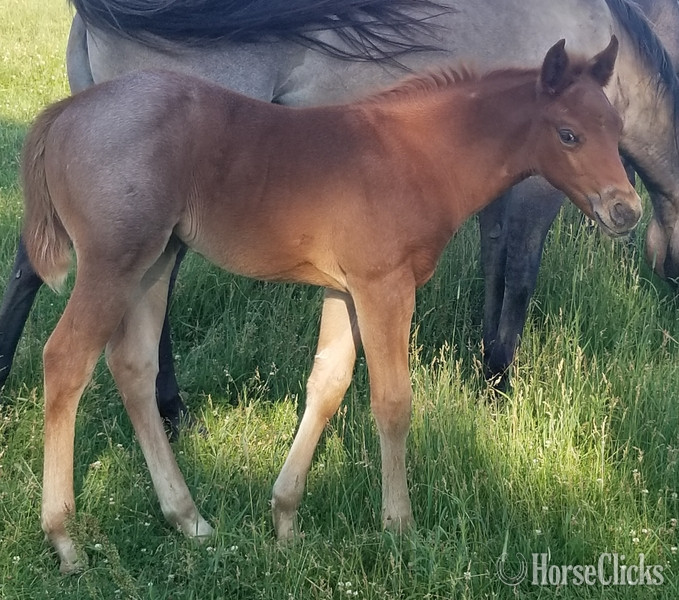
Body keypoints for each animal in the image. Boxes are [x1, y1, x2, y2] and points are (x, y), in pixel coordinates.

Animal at [1, 0, 678, 425]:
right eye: (572, 135)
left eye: (611, 126)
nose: (624, 213)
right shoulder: (537, 193)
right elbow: (517, 279)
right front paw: (499, 387)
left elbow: (492, 273)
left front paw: (482, 375)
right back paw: (170, 412)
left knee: (33, 263)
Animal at [21, 39, 639, 573]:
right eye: (568, 134)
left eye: (616, 130)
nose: (626, 211)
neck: (418, 154)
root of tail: (64, 113)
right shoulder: (384, 286)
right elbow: (392, 403)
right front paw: (399, 527)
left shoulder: (344, 289)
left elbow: (328, 384)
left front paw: (285, 519)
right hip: (114, 263)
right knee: (66, 361)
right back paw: (65, 539)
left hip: (157, 259)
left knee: (133, 367)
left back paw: (189, 518)